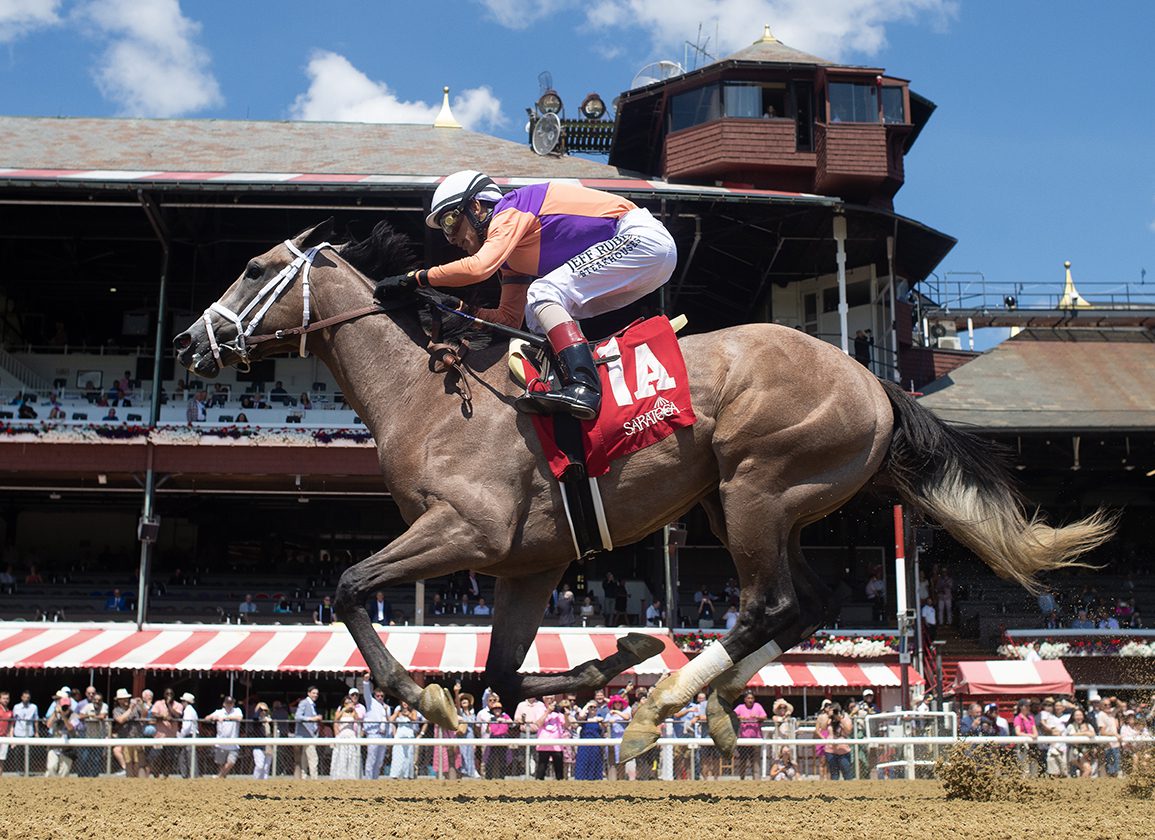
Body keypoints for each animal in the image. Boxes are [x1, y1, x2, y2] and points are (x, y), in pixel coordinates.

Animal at [174, 220, 1113, 761]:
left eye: (253, 267)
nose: (187, 343)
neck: (432, 398)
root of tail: (872, 379)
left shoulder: (468, 531)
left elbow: (347, 586)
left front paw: (422, 692)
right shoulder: (527, 564)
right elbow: (505, 678)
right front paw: (610, 656)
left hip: (755, 483)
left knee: (769, 604)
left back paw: (661, 704)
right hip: (758, 501)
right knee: (807, 602)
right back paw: (712, 701)